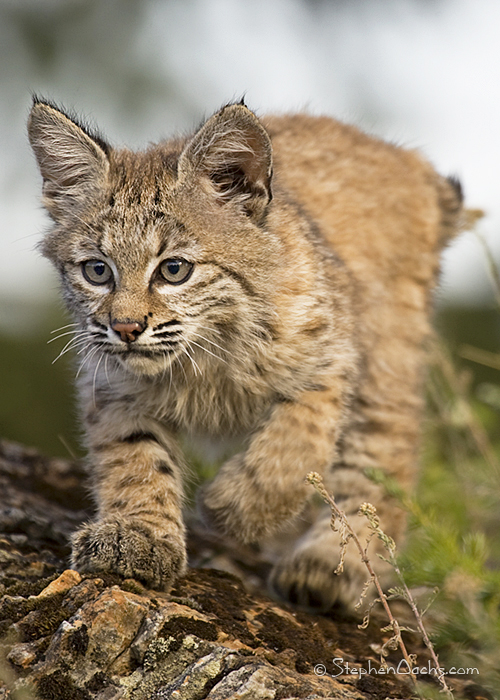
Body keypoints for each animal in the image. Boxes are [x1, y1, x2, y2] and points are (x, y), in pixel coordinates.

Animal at [28, 97, 460, 608]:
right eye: (97, 271)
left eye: (174, 270)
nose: (126, 328)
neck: (204, 351)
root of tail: (397, 154)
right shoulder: (111, 381)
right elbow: (132, 456)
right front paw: (137, 537)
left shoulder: (330, 360)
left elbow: (292, 452)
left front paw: (231, 508)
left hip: (387, 357)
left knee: (384, 455)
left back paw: (332, 568)